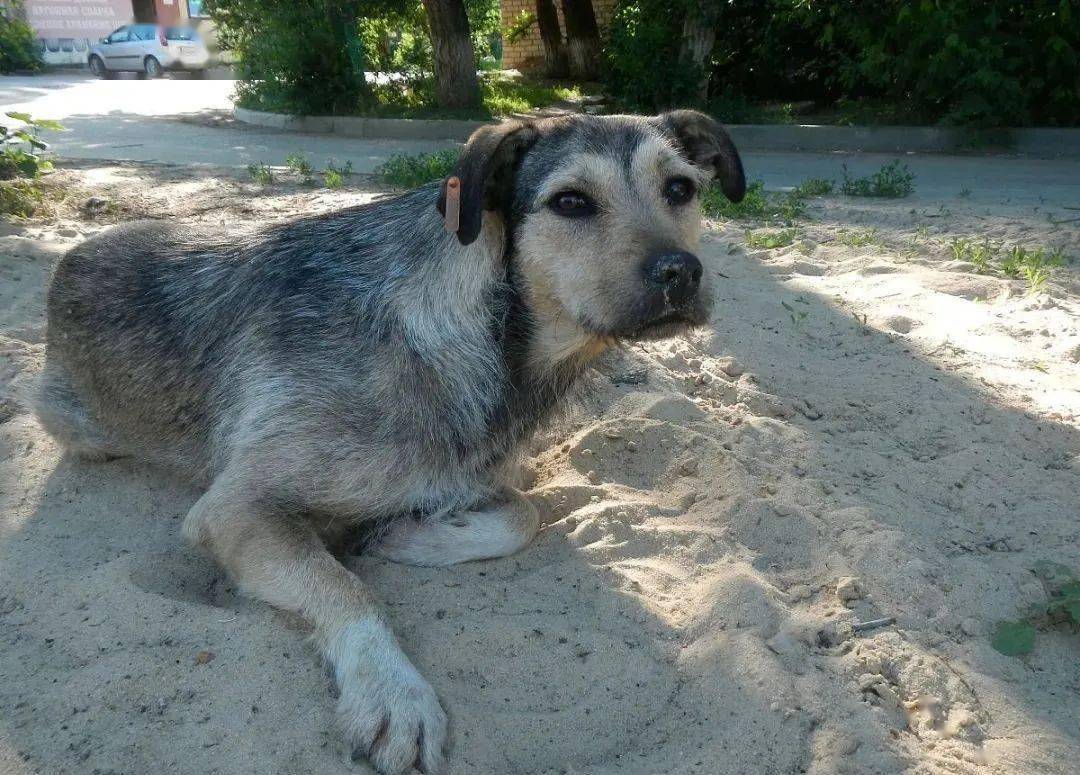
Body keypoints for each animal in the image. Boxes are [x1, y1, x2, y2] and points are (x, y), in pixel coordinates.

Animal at [33, 110, 743, 775]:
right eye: (570, 202)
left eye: (680, 189)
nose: (680, 272)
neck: (476, 335)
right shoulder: (236, 507)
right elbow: (344, 587)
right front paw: (393, 692)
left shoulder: (483, 471)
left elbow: (524, 513)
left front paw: (413, 536)